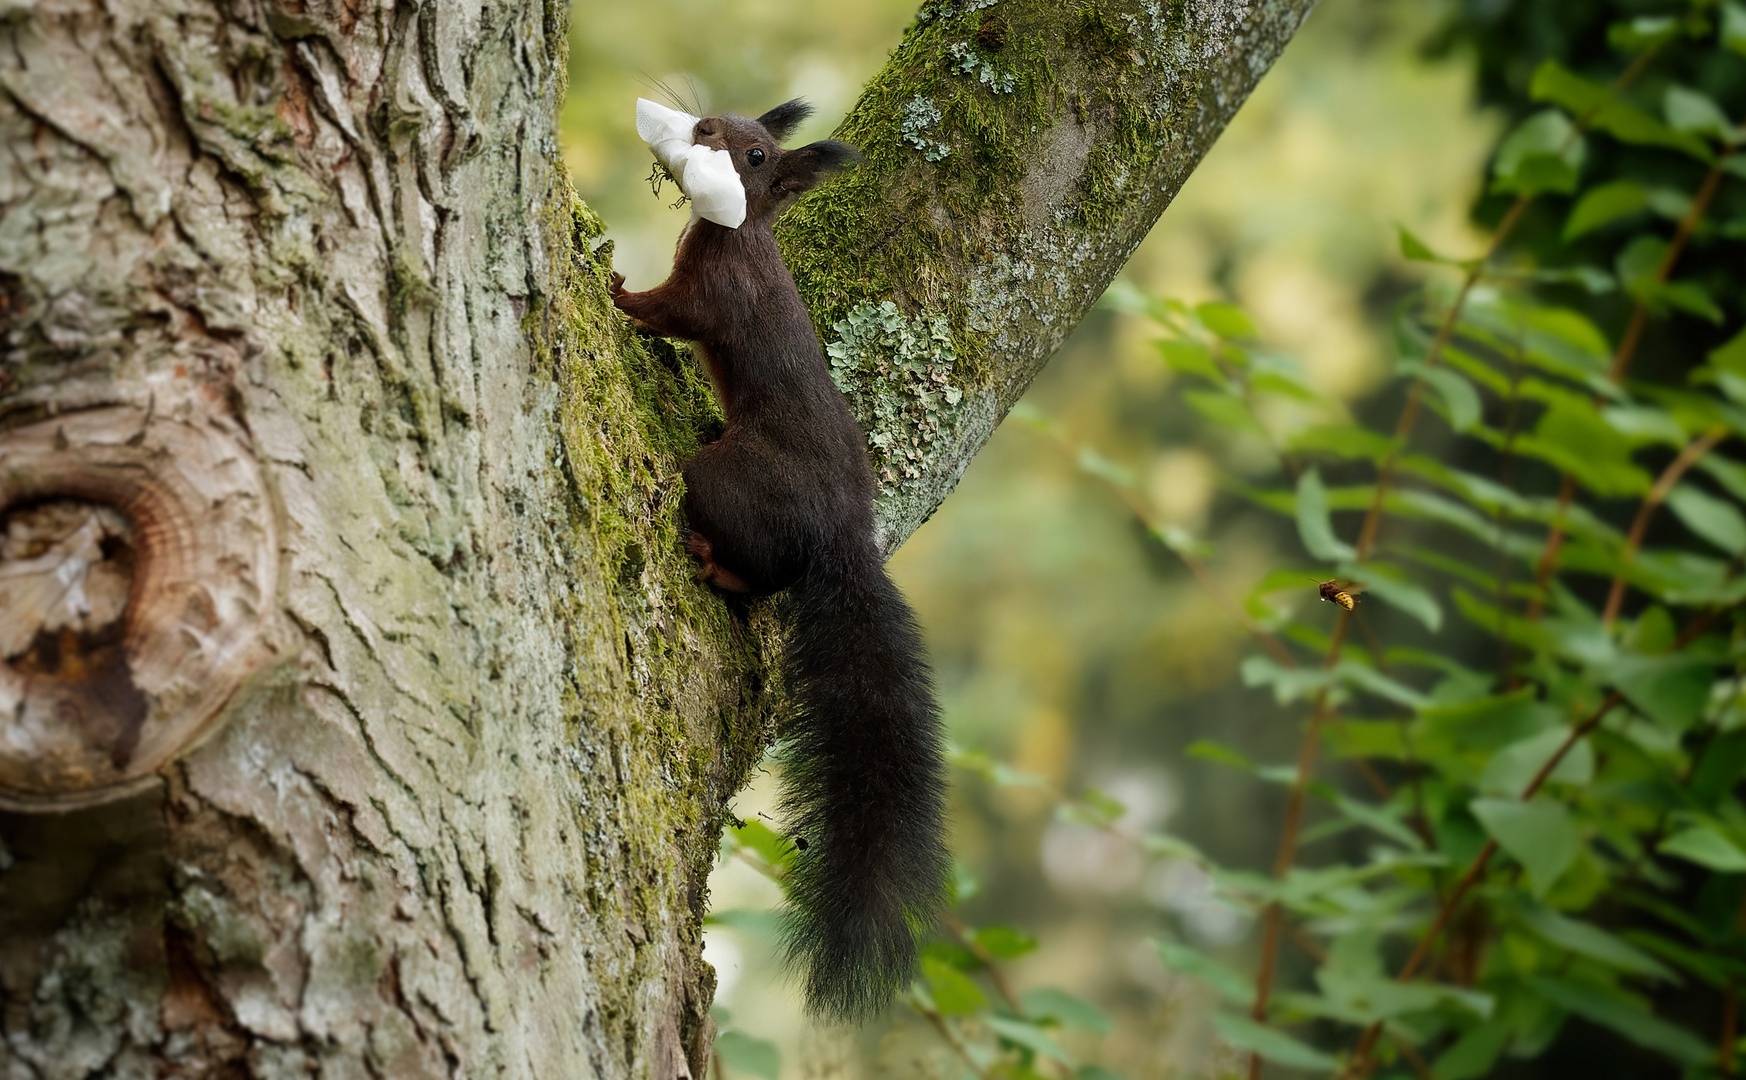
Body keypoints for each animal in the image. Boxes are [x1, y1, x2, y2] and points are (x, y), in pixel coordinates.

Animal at [607, 101, 949, 1025]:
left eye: (757, 154)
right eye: (718, 116)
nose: (699, 131)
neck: (739, 235)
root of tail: (843, 538)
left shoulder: (715, 295)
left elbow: (672, 312)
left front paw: (618, 291)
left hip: (725, 481)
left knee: (756, 567)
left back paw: (710, 560)